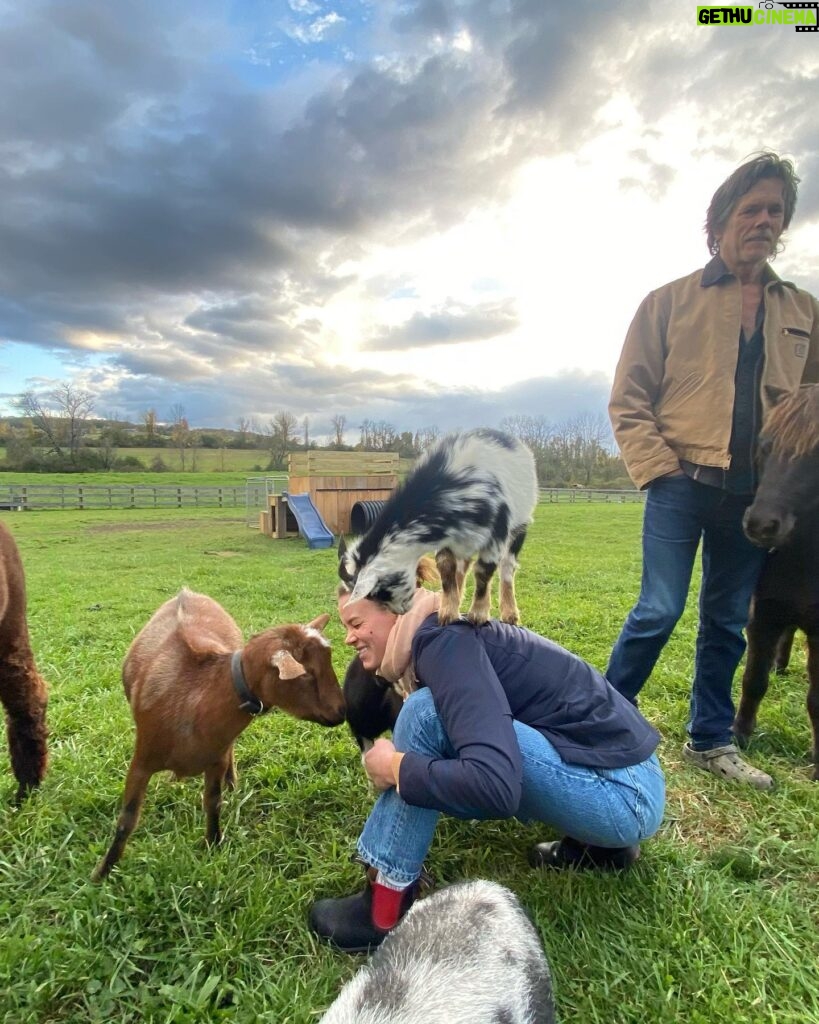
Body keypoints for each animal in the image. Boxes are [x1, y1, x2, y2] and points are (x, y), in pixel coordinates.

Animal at [93, 593, 346, 880]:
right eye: (308, 673)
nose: (342, 711)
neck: (196, 697)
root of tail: (186, 592)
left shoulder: (216, 759)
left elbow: (213, 803)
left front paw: (213, 844)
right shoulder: (141, 761)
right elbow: (127, 820)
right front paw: (102, 873)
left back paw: (232, 783)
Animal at [337, 430, 536, 626]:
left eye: (380, 592)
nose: (399, 612)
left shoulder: (496, 533)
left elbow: (483, 571)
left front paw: (478, 615)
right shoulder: (447, 539)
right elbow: (446, 567)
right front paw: (448, 612)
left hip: (519, 525)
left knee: (507, 566)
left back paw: (510, 615)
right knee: (462, 566)